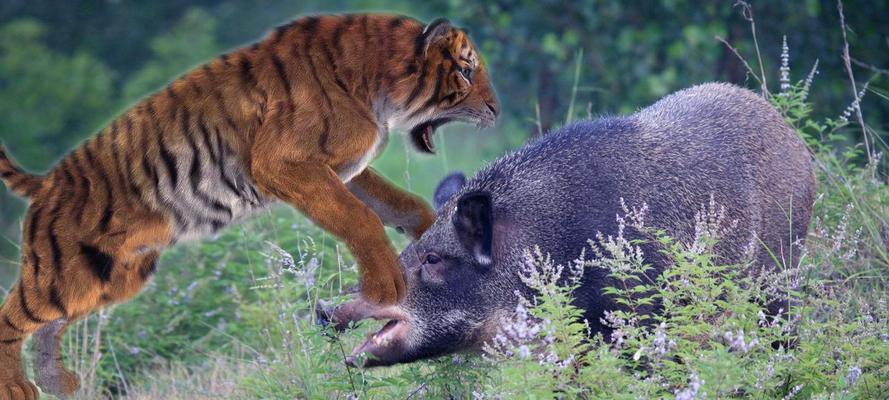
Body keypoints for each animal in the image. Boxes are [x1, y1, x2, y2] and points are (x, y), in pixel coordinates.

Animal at [0, 14, 500, 398]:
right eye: (465, 71)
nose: (497, 110)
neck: (378, 91)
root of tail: (47, 181)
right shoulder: (284, 162)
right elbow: (359, 219)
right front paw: (386, 287)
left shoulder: (343, 169)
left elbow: (399, 203)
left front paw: (431, 230)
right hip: (61, 273)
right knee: (12, 317)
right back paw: (21, 389)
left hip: (109, 277)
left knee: (49, 326)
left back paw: (58, 383)